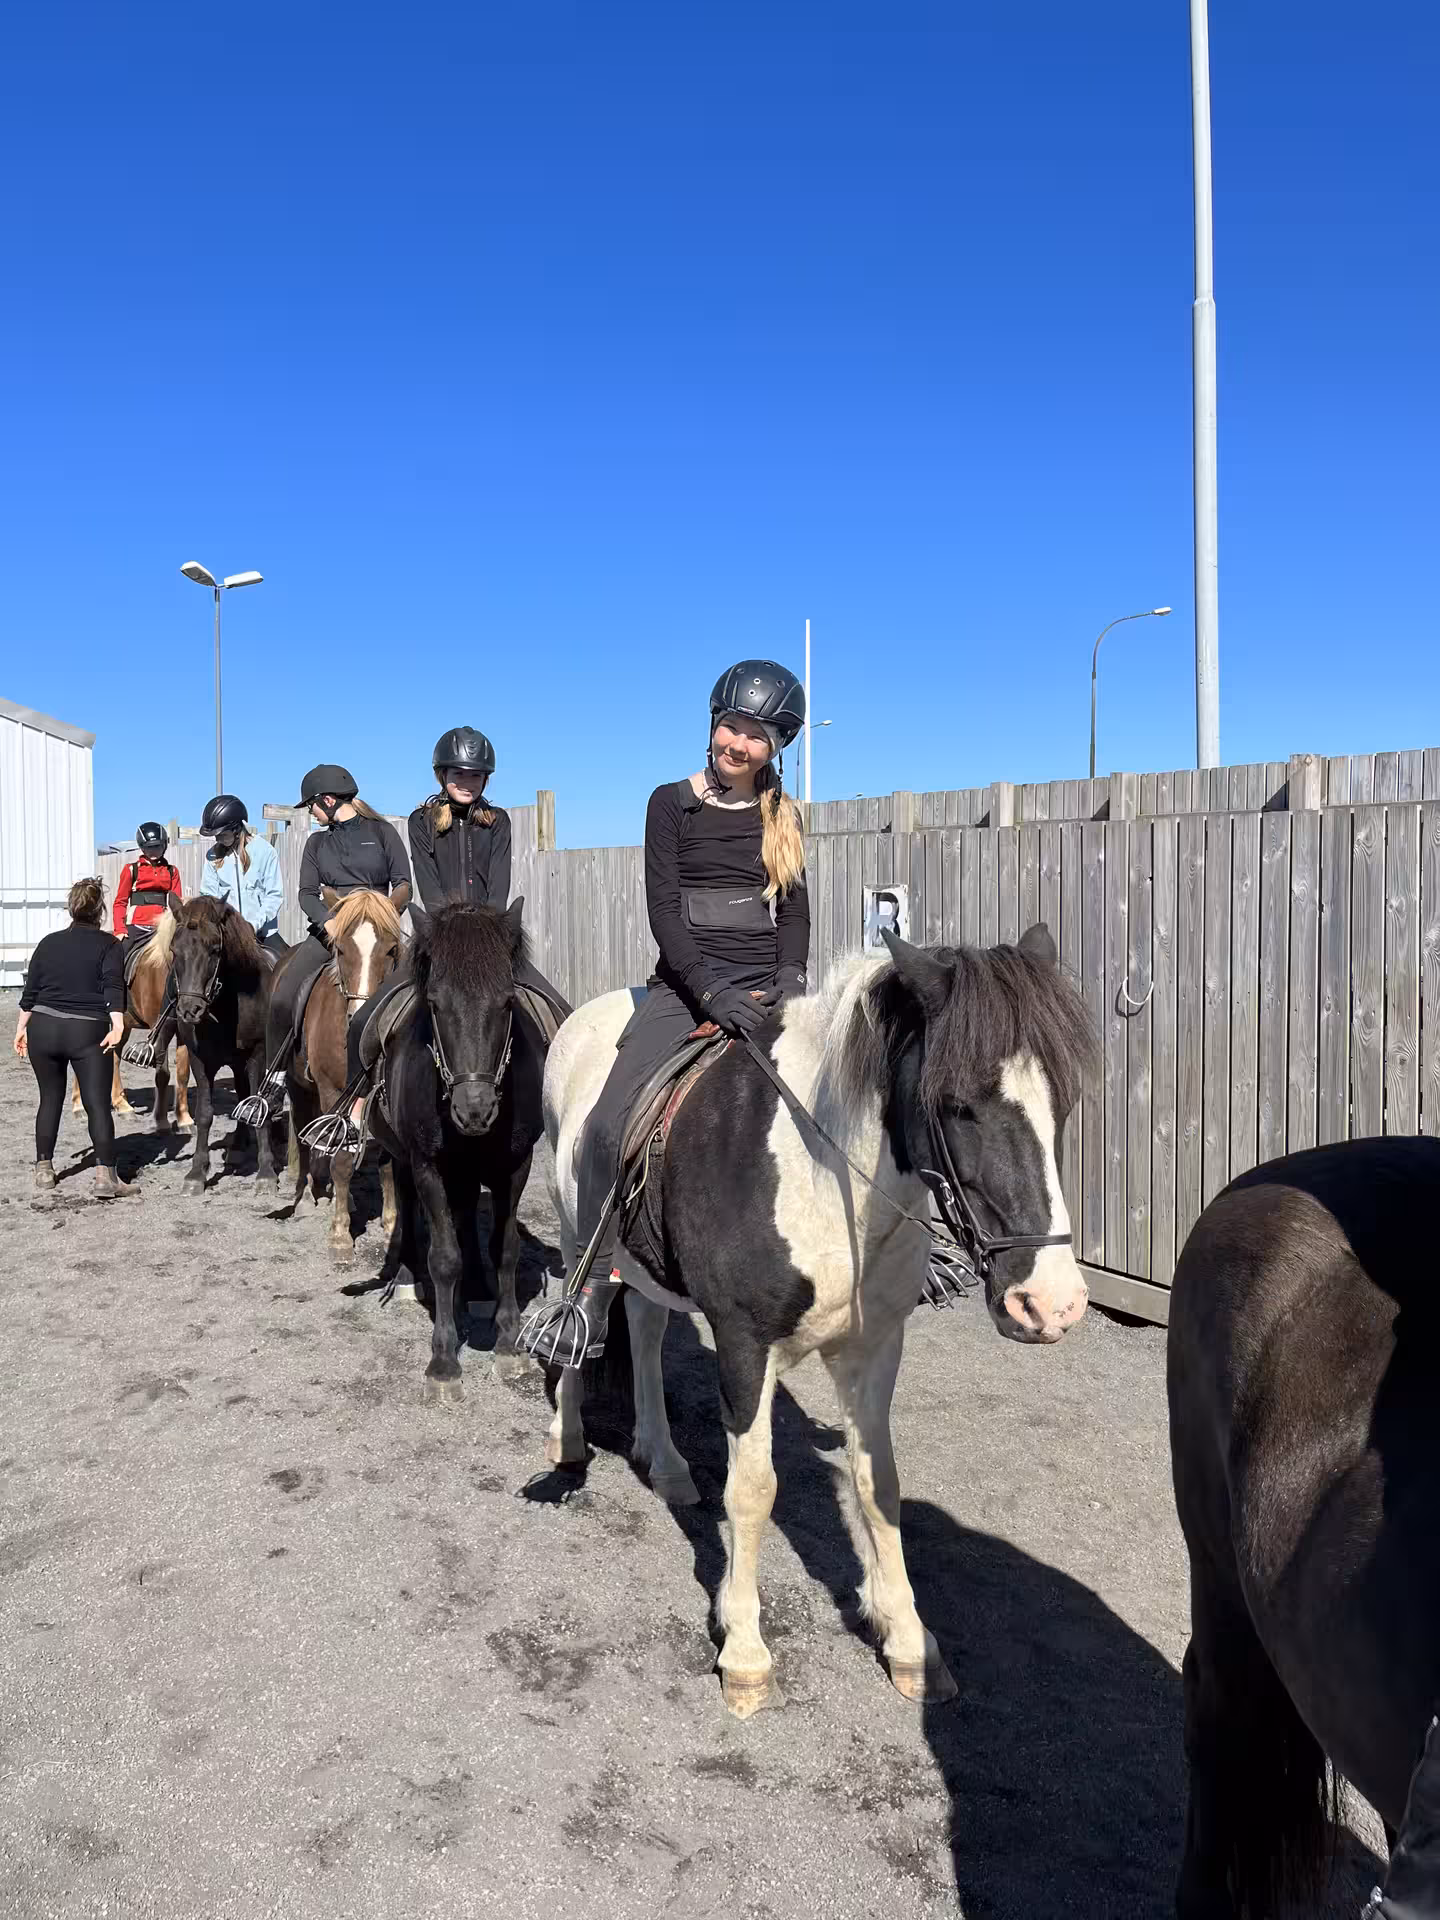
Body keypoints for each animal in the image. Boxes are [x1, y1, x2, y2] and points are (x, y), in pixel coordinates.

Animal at [71, 911, 192, 1132]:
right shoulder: (157, 1029)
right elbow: (163, 1074)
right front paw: (161, 1121)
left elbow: (183, 1073)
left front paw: (185, 1120)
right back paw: (78, 1106)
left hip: (122, 1025)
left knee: (114, 1056)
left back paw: (122, 1105)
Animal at [170, 896, 283, 1196]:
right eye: (174, 949)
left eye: (215, 949)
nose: (190, 1009)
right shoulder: (200, 1061)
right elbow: (205, 1113)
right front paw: (196, 1173)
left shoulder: (258, 1056)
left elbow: (258, 1108)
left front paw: (266, 1173)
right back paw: (238, 1146)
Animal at [285, 887, 403, 1263]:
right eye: (339, 949)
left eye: (391, 949)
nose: (361, 1016)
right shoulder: (331, 1090)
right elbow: (339, 1159)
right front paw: (340, 1235)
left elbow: (385, 1160)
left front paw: (391, 1225)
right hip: (299, 1086)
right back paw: (306, 1193)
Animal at [370, 901, 546, 1396]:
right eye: (434, 1004)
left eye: (507, 1001)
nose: (475, 1109)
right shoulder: (427, 1164)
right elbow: (444, 1257)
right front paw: (444, 1359)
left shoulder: (515, 1165)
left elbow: (505, 1248)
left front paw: (507, 1342)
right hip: (405, 1158)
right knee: (407, 1201)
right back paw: (408, 1276)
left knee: (465, 1213)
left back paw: (477, 1291)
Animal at [542, 924, 1094, 1718]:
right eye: (958, 1105)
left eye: (1065, 1101)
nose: (1050, 1303)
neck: (824, 1175)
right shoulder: (744, 1344)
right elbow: (753, 1490)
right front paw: (744, 1651)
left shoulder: (872, 1348)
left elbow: (879, 1485)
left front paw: (909, 1640)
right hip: (574, 1229)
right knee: (578, 1311)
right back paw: (566, 1437)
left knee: (643, 1331)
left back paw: (666, 1461)